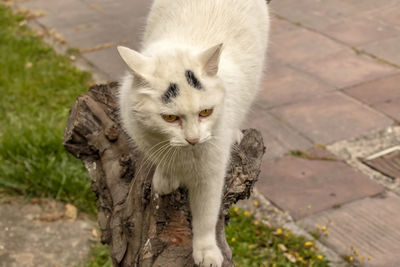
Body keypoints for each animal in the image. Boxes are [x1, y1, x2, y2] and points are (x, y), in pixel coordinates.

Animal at [117, 1, 270, 266]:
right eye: (170, 118)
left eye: (206, 112)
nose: (193, 139)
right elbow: (162, 161)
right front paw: (165, 177)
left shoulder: (211, 173)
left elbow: (206, 215)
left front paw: (207, 251)